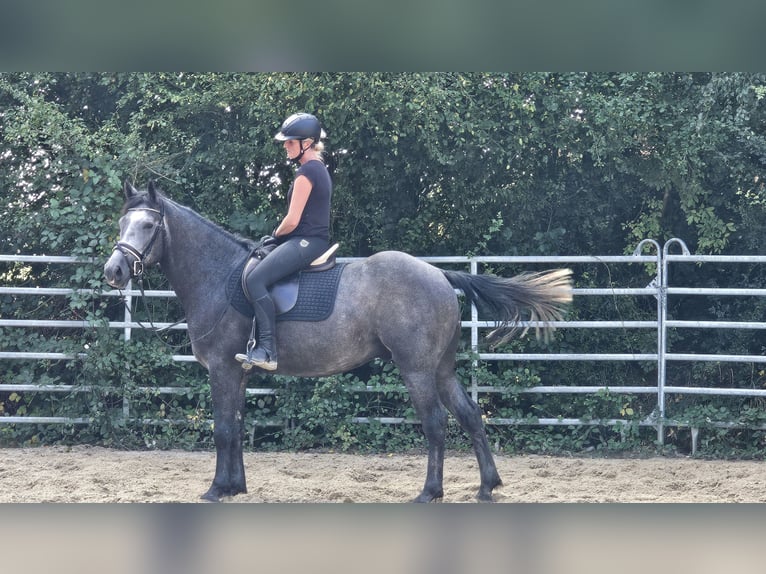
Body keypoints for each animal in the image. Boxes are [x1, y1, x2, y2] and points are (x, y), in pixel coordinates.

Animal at [102, 181, 572, 504]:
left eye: (148, 225)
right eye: (122, 223)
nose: (114, 272)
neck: (219, 276)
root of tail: (438, 273)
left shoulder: (222, 368)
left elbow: (221, 429)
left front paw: (217, 489)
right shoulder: (239, 371)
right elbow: (235, 426)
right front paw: (236, 486)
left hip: (416, 369)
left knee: (436, 423)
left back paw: (430, 492)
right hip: (441, 369)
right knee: (471, 416)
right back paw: (488, 487)